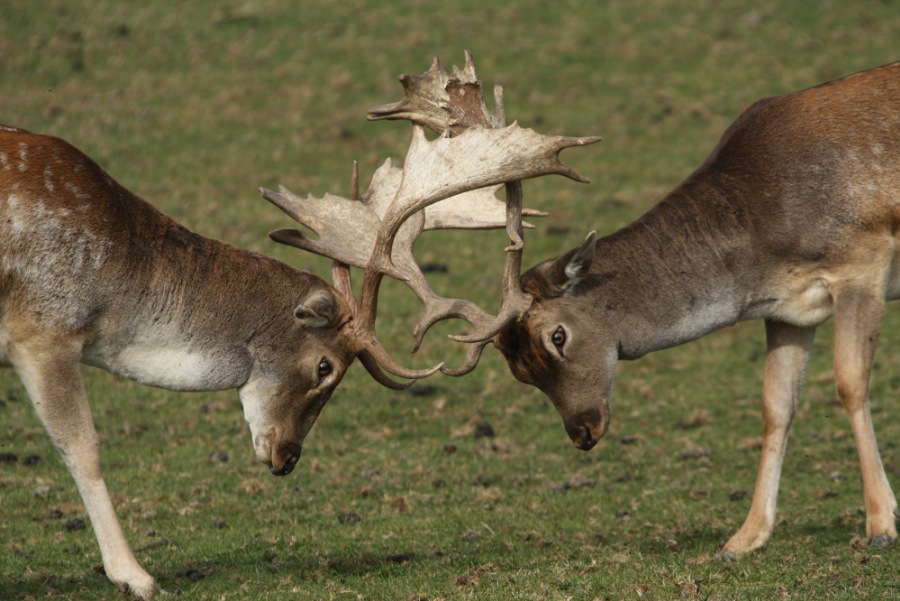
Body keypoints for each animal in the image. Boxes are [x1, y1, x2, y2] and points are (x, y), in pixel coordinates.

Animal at [0, 55, 599, 598]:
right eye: (325, 367)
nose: (286, 458)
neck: (114, 283)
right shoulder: (44, 329)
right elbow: (84, 447)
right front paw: (137, 577)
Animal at [296, 57, 898, 556]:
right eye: (518, 370)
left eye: (558, 336)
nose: (582, 431)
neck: (765, 223)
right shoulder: (788, 308)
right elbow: (777, 405)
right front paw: (744, 537)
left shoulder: (861, 262)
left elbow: (850, 383)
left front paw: (880, 524)